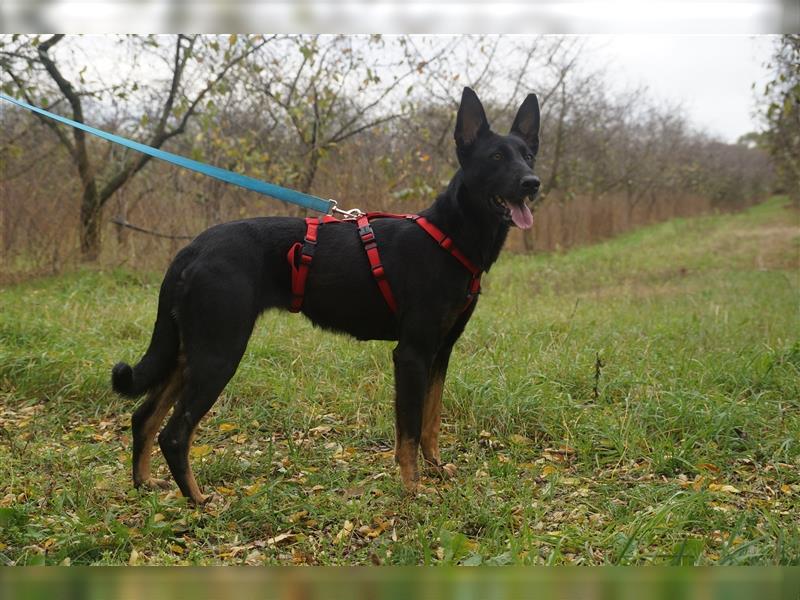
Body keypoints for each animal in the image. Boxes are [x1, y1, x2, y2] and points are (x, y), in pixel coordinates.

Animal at [111, 88, 536, 502]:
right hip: (219, 352)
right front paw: (413, 488)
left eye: (529, 155)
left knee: (143, 417)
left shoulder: (441, 351)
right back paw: (199, 501)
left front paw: (435, 469)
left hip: (188, 352)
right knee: (174, 433)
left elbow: (431, 422)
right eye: (496, 157)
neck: (448, 236)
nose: (533, 183)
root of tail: (193, 248)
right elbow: (410, 431)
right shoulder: (412, 354)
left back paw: (145, 483)